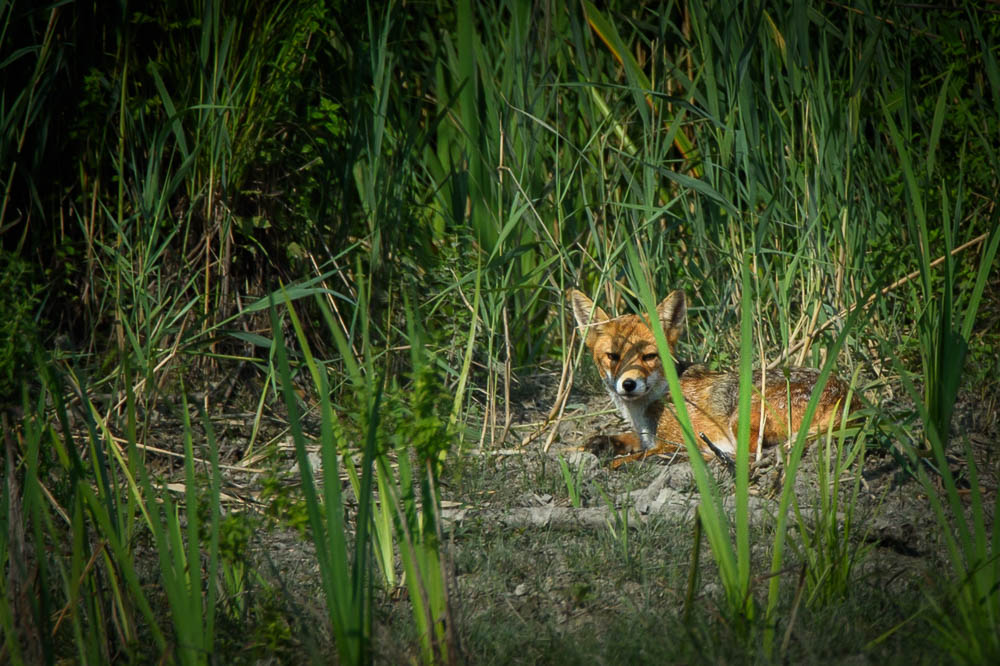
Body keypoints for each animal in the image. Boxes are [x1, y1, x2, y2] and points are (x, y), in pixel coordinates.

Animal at [569, 289, 856, 468]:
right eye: (613, 356)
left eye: (649, 356)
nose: (628, 385)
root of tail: (848, 395)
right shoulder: (645, 435)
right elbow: (626, 439)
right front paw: (595, 444)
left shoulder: (679, 439)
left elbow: (631, 456)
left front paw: (612, 460)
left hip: (740, 418)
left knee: (747, 454)